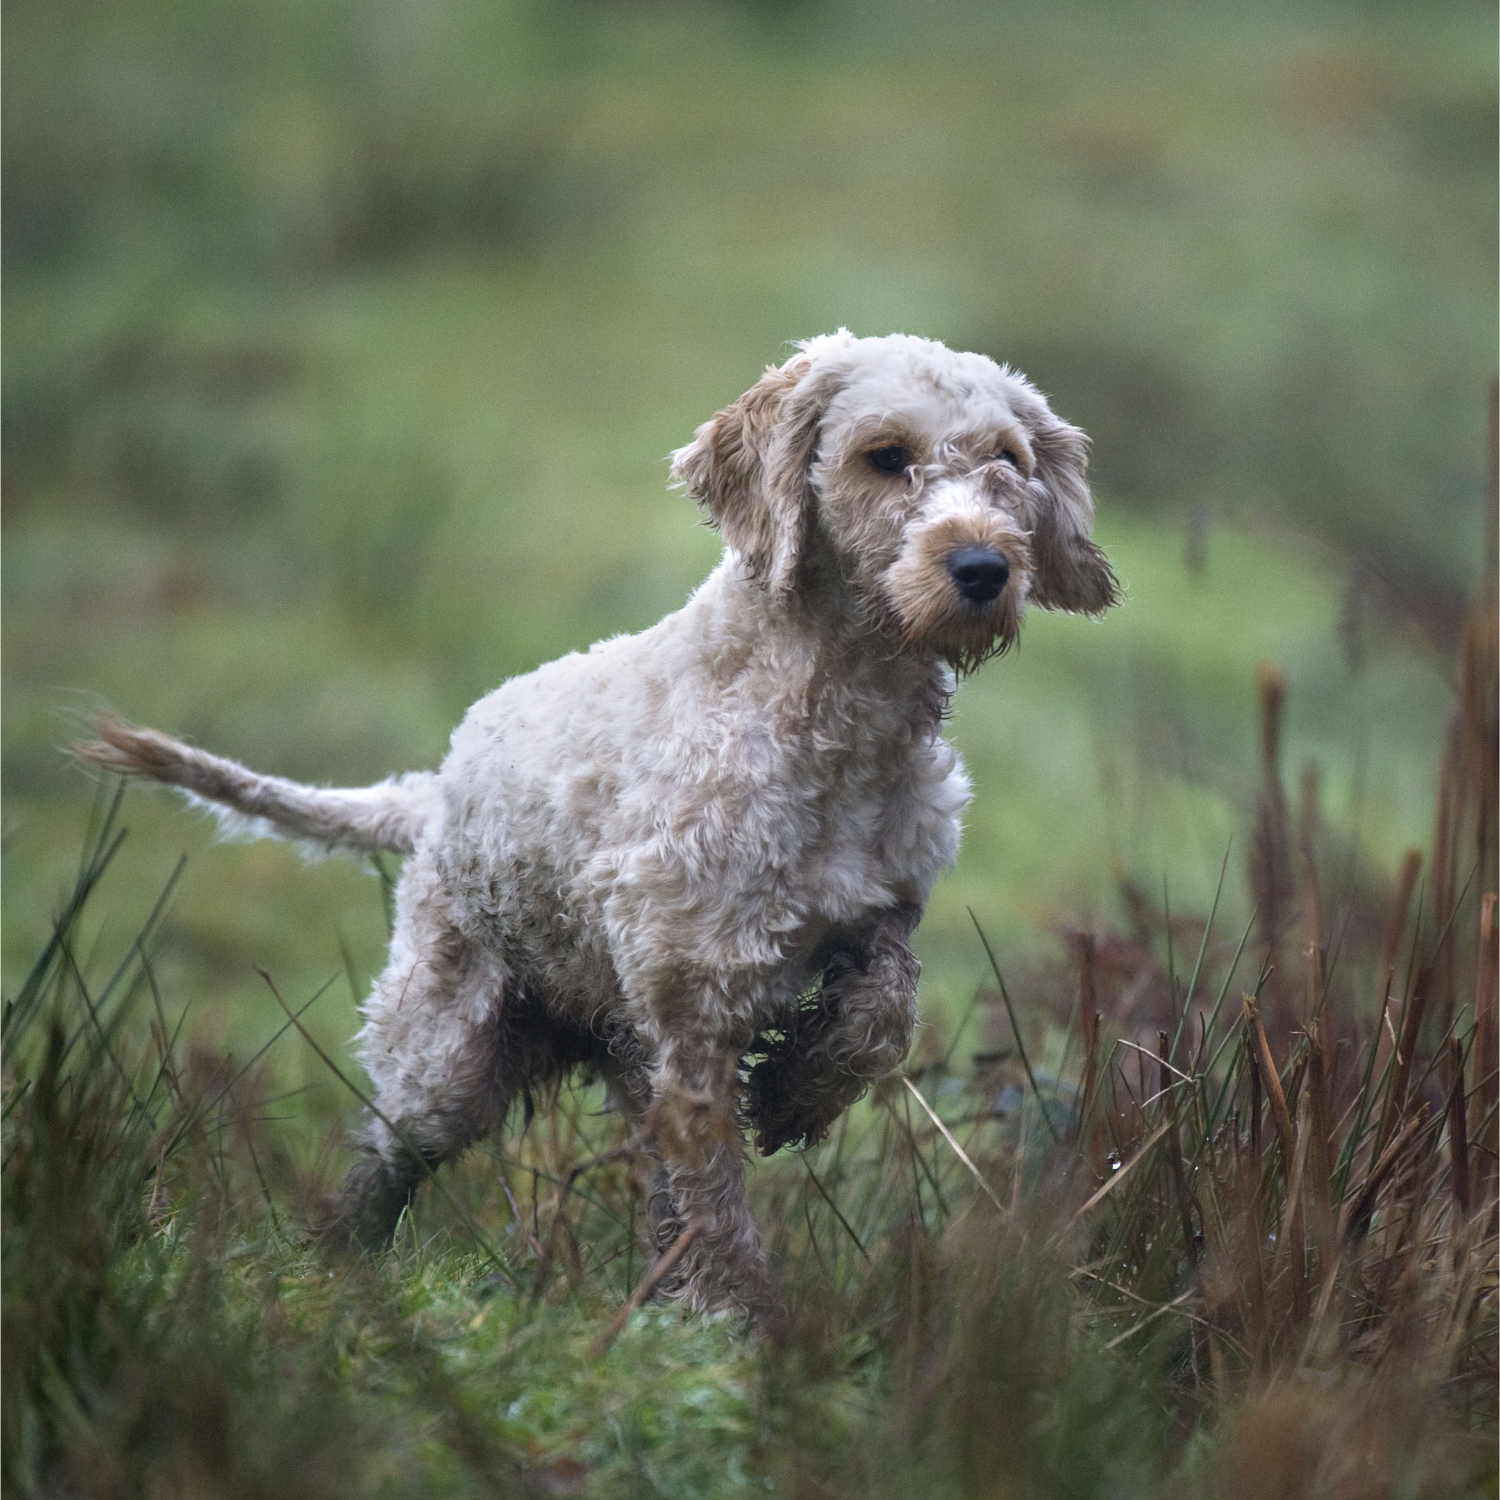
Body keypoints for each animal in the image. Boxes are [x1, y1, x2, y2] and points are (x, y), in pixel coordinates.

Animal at [76, 334, 1122, 1320]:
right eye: (886, 456)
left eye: (1009, 460)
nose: (984, 569)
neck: (824, 716)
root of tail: (432, 794)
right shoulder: (692, 1004)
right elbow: (712, 1196)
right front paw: (737, 1323)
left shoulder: (871, 921)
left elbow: (882, 1012)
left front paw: (797, 1092)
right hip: (446, 1061)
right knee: (384, 1161)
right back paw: (341, 1266)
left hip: (607, 1052)